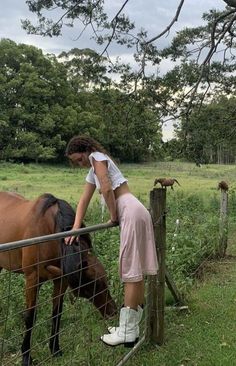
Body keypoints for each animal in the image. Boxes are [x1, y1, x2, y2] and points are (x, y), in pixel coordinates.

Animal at [0, 192, 116, 366]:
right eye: (91, 286)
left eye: (105, 279)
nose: (112, 311)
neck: (50, 231)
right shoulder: (32, 279)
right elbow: (30, 318)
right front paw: (26, 356)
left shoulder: (61, 280)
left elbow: (57, 314)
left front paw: (55, 349)